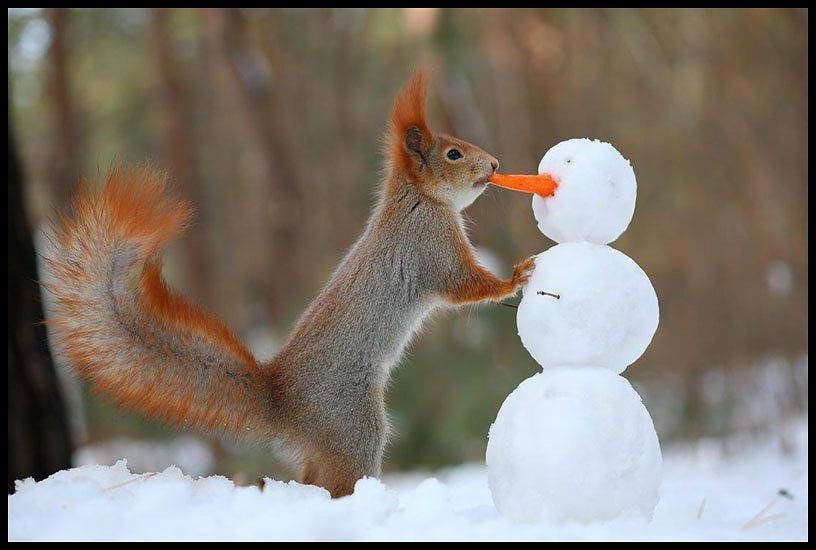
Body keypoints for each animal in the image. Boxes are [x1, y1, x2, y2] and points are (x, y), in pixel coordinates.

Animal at [47, 71, 540, 498]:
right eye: (453, 154)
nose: (495, 164)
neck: (418, 199)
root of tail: (284, 402)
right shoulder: (430, 246)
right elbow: (464, 287)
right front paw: (516, 276)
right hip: (354, 425)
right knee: (335, 480)